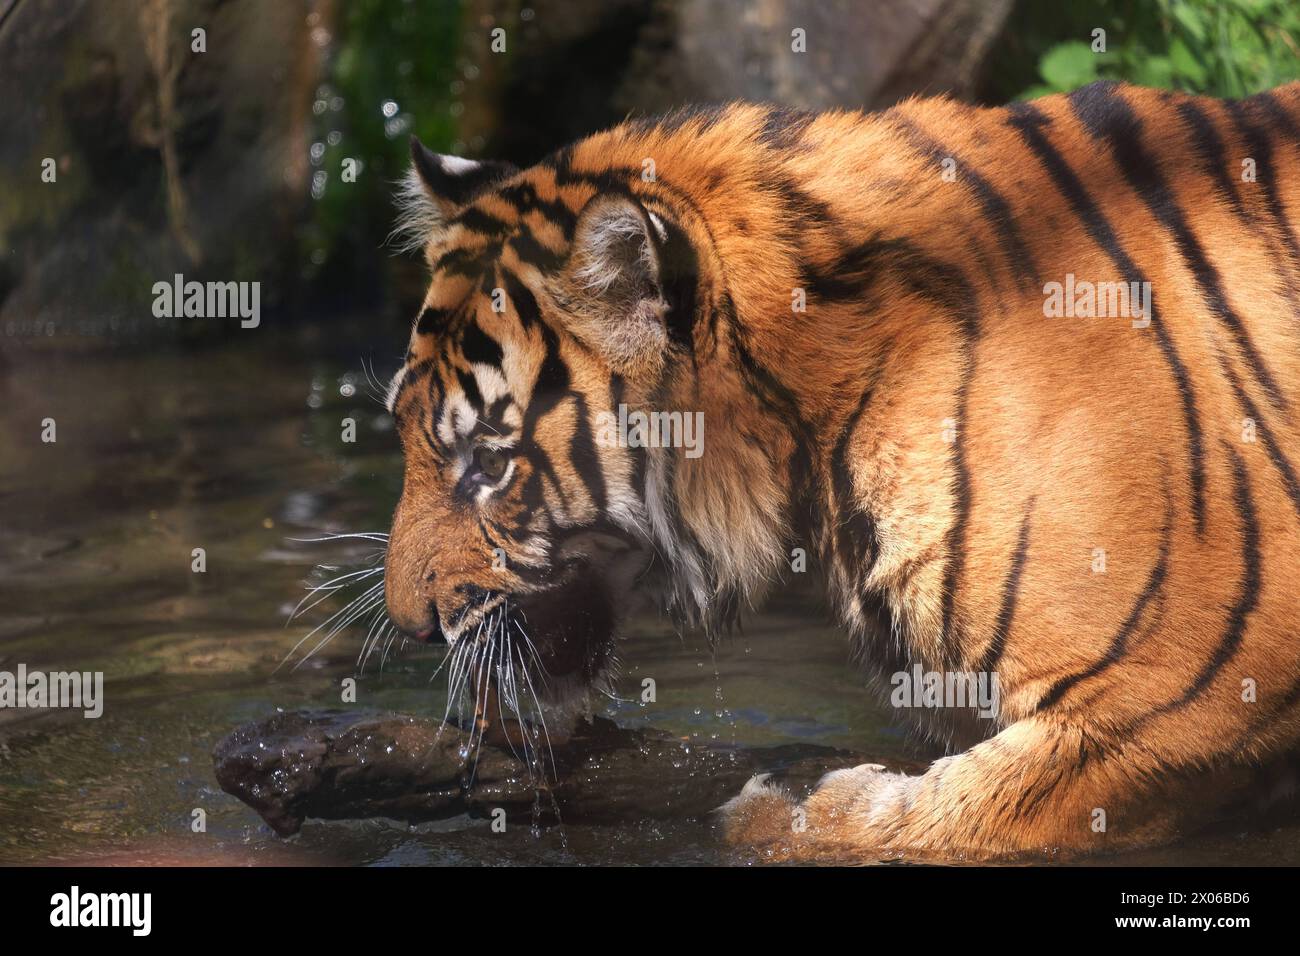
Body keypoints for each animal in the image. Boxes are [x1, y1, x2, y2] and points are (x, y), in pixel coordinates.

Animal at [379, 78, 1300, 863]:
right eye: (404, 434)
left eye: (489, 462)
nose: (413, 627)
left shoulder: (1177, 693)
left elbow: (946, 816)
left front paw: (777, 811)